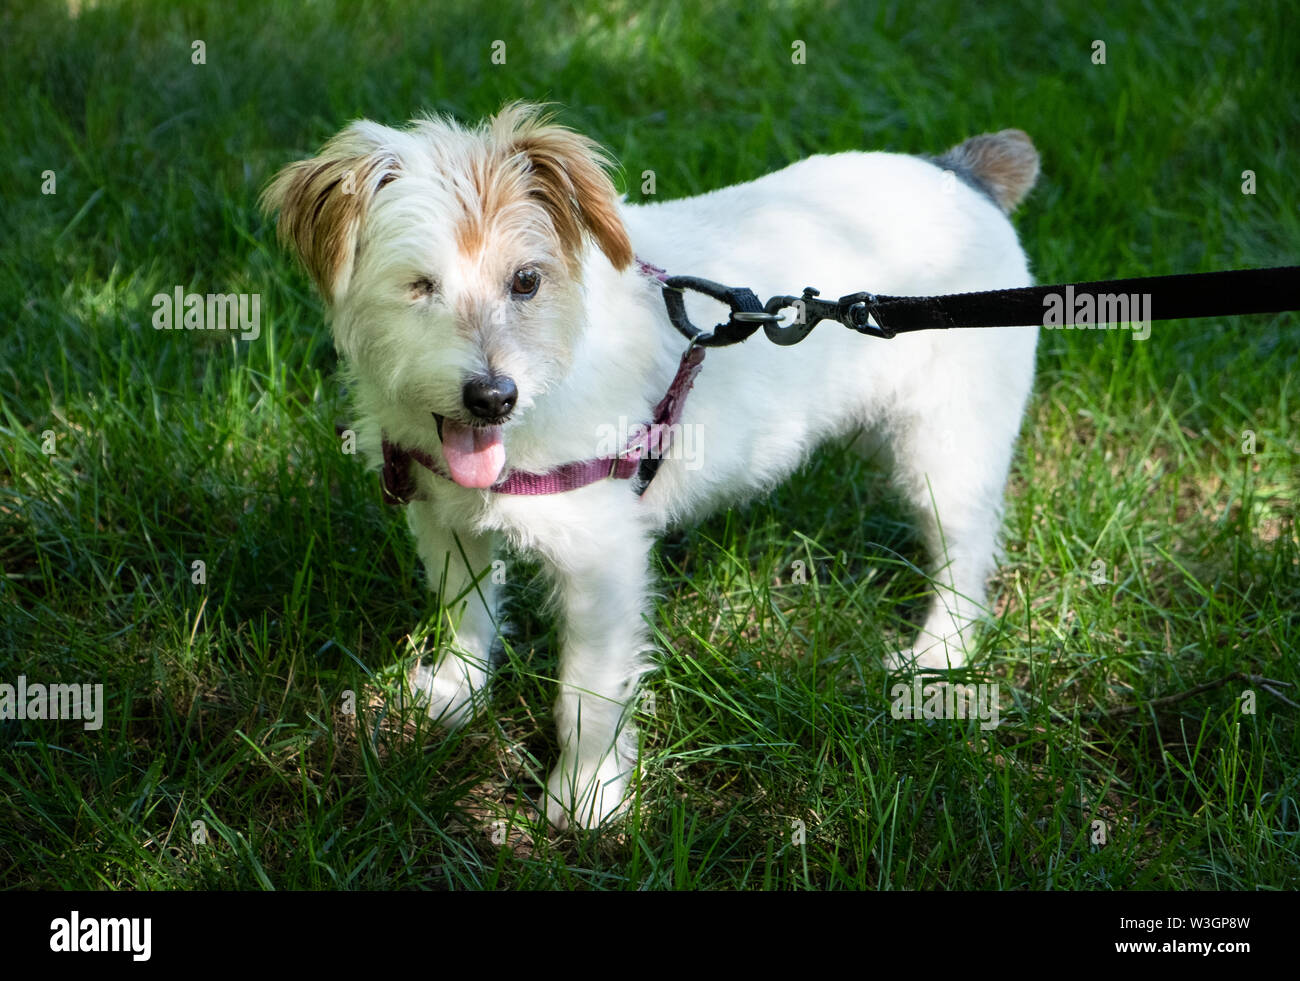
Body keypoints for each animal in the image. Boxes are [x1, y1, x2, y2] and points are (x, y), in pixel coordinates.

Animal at [258, 103, 1040, 826]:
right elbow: (467, 613)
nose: (492, 396)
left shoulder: (601, 562)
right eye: (419, 285)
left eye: (526, 281)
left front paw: (585, 797)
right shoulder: (444, 519)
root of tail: (960, 172)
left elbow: (586, 692)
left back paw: (940, 652)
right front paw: (458, 694)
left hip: (945, 452)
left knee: (964, 554)